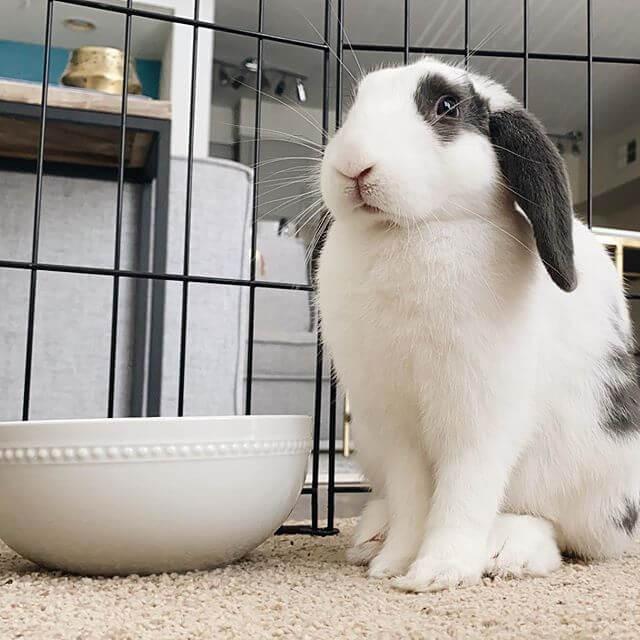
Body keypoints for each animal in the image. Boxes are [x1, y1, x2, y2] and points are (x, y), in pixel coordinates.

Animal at [315, 56, 640, 593]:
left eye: (446, 106)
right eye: (354, 104)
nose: (353, 166)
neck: (410, 231)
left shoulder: (479, 414)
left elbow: (462, 494)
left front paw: (437, 573)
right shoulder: (394, 424)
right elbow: (412, 499)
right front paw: (394, 564)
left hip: (590, 480)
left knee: (561, 529)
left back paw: (509, 553)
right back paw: (372, 538)